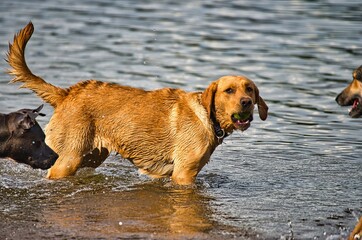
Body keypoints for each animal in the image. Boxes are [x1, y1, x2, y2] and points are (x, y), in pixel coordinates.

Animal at [4, 22, 266, 184]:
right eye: (229, 90)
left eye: (250, 89)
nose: (246, 102)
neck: (208, 116)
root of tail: (67, 92)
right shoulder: (184, 175)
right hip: (65, 157)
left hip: (91, 156)